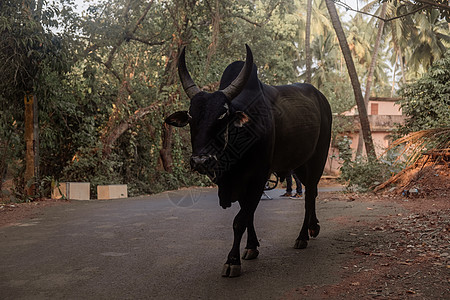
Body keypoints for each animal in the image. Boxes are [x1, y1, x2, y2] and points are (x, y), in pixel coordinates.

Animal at [165, 45, 330, 278]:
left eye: (223, 115)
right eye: (190, 116)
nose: (200, 160)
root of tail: (321, 98)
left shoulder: (257, 178)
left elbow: (240, 220)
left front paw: (232, 260)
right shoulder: (242, 183)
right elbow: (248, 215)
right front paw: (251, 247)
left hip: (318, 158)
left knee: (309, 197)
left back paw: (303, 236)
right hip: (298, 164)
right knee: (312, 192)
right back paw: (313, 227)